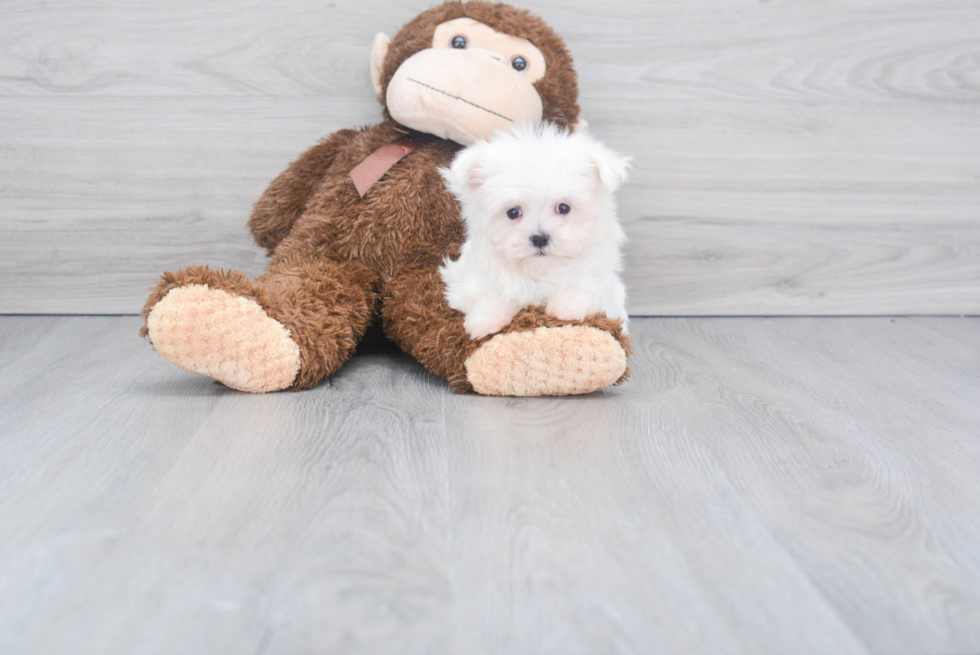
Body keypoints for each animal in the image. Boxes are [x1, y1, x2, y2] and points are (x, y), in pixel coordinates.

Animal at [440, 120, 632, 340]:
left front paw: (566, 306)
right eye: (513, 212)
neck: (540, 271)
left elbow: (587, 291)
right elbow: (490, 294)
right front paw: (485, 320)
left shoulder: (605, 287)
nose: (540, 238)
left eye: (563, 208)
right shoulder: (465, 281)